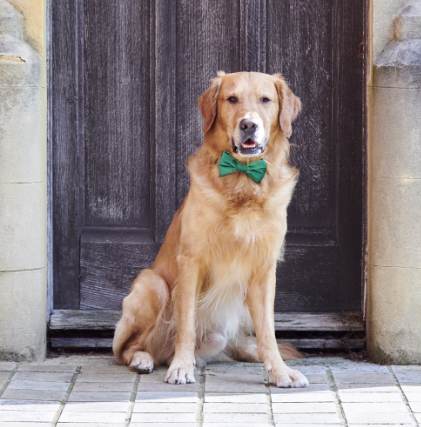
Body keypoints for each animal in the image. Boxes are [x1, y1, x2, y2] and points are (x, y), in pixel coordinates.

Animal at [111, 72, 308, 390]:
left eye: (266, 100)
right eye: (232, 99)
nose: (248, 125)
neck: (242, 181)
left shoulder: (264, 270)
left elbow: (268, 332)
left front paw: (280, 372)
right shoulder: (191, 262)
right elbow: (186, 325)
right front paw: (181, 368)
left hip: (218, 335)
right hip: (151, 284)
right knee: (126, 348)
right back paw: (145, 359)